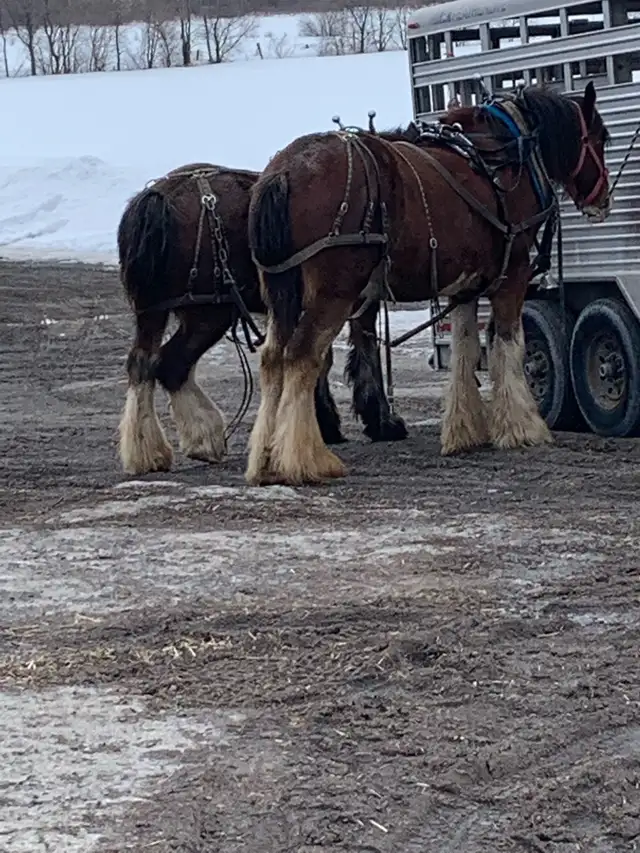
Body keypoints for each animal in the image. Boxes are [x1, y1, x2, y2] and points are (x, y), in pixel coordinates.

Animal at [117, 163, 406, 476]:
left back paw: (161, 449)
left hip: (156, 311)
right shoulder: (348, 297)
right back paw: (201, 436)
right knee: (171, 363)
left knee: (147, 362)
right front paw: (378, 422)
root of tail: (157, 198)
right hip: (209, 312)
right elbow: (360, 350)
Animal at [245, 82, 611, 486]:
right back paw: (304, 459)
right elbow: (509, 347)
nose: (604, 198)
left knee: (273, 359)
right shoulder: (512, 274)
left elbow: (466, 350)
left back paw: (266, 457)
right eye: (601, 138)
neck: (506, 157)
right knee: (302, 357)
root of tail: (285, 170)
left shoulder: (466, 286)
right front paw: (523, 427)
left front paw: (465, 430)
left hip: (283, 290)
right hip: (334, 291)